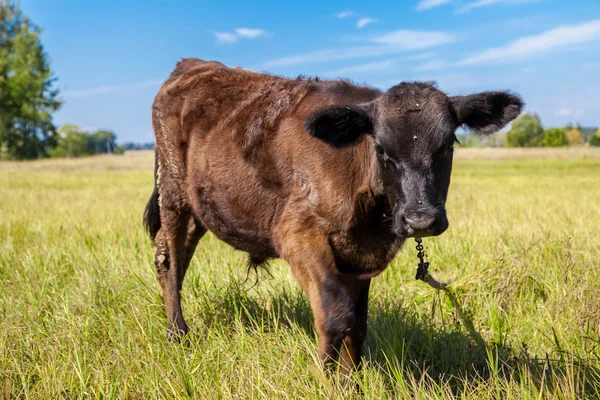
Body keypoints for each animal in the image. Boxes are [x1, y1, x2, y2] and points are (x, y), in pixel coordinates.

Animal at [143, 57, 524, 376]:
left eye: (447, 146)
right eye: (381, 149)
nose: (421, 220)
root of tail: (191, 65)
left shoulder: (358, 256)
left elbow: (358, 325)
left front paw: (350, 381)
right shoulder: (296, 234)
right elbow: (336, 315)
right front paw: (327, 380)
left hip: (199, 207)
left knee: (180, 257)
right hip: (173, 193)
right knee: (168, 259)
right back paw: (178, 333)